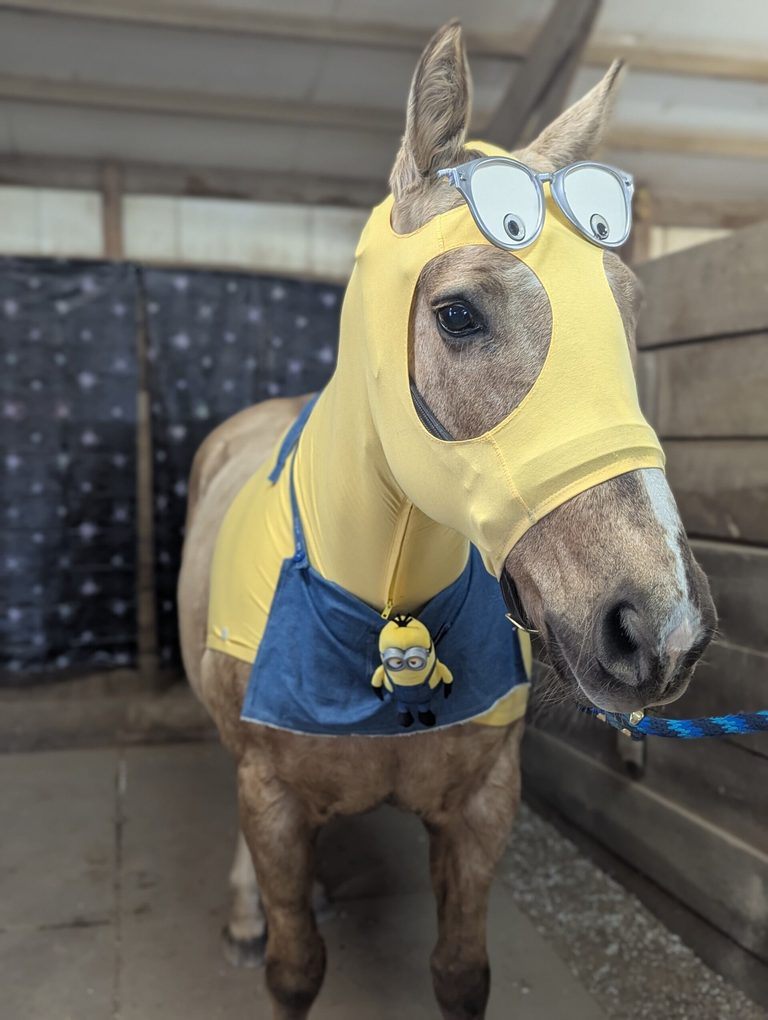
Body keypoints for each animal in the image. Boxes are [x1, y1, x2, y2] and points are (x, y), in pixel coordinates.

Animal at [178, 21, 716, 1020]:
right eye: (458, 313)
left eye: (626, 309)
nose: (663, 628)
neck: (383, 610)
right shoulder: (270, 799)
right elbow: (294, 968)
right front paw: (264, 925)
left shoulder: (481, 806)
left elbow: (461, 973)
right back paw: (243, 913)